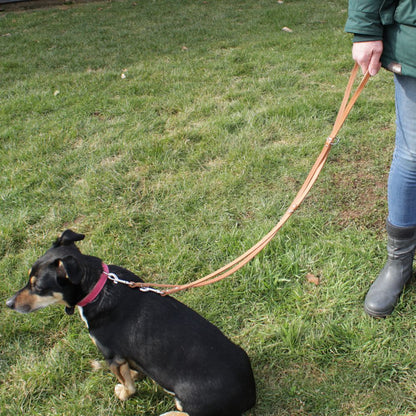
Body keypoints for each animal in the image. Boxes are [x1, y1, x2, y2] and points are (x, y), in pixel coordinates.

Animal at [7, 231, 256, 416]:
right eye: (28, 279)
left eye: (38, 287)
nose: (8, 303)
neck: (97, 286)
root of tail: (250, 395)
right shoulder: (124, 358)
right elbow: (132, 369)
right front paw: (136, 374)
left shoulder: (112, 356)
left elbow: (127, 385)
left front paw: (124, 393)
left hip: (186, 399)